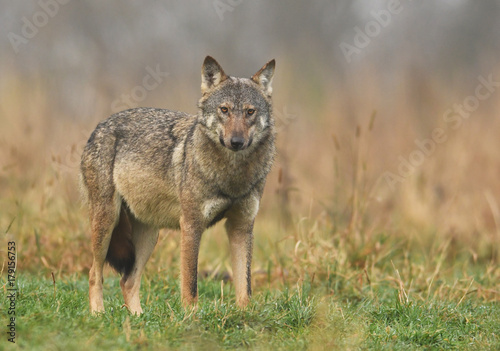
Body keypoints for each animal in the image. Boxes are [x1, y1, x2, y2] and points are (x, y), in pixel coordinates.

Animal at [79, 56, 276, 314]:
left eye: (250, 112)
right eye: (224, 110)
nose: (236, 141)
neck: (232, 176)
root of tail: (99, 126)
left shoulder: (241, 227)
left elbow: (245, 287)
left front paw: (244, 316)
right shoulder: (191, 225)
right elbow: (190, 284)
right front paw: (190, 317)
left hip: (149, 236)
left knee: (128, 281)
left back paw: (138, 318)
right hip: (107, 223)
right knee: (95, 273)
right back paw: (98, 315)